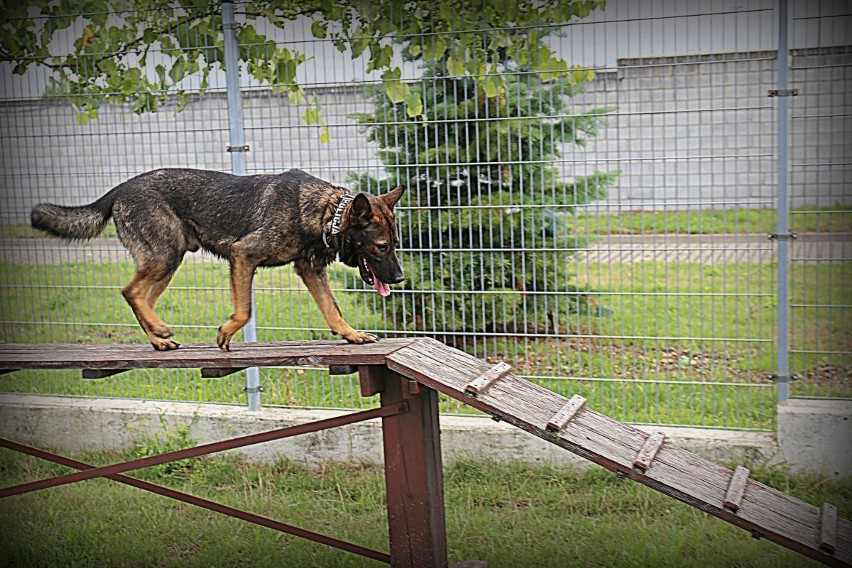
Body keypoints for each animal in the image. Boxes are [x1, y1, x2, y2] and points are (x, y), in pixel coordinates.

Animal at [31, 166, 404, 348]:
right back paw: (159, 330)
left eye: (396, 243)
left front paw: (351, 335)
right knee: (130, 292)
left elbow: (332, 310)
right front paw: (226, 332)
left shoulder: (311, 272)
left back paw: (158, 339)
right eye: (382, 247)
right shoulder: (243, 256)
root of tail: (120, 189)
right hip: (164, 256)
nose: (400, 279)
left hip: (168, 262)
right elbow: (244, 310)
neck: (326, 213)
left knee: (142, 298)